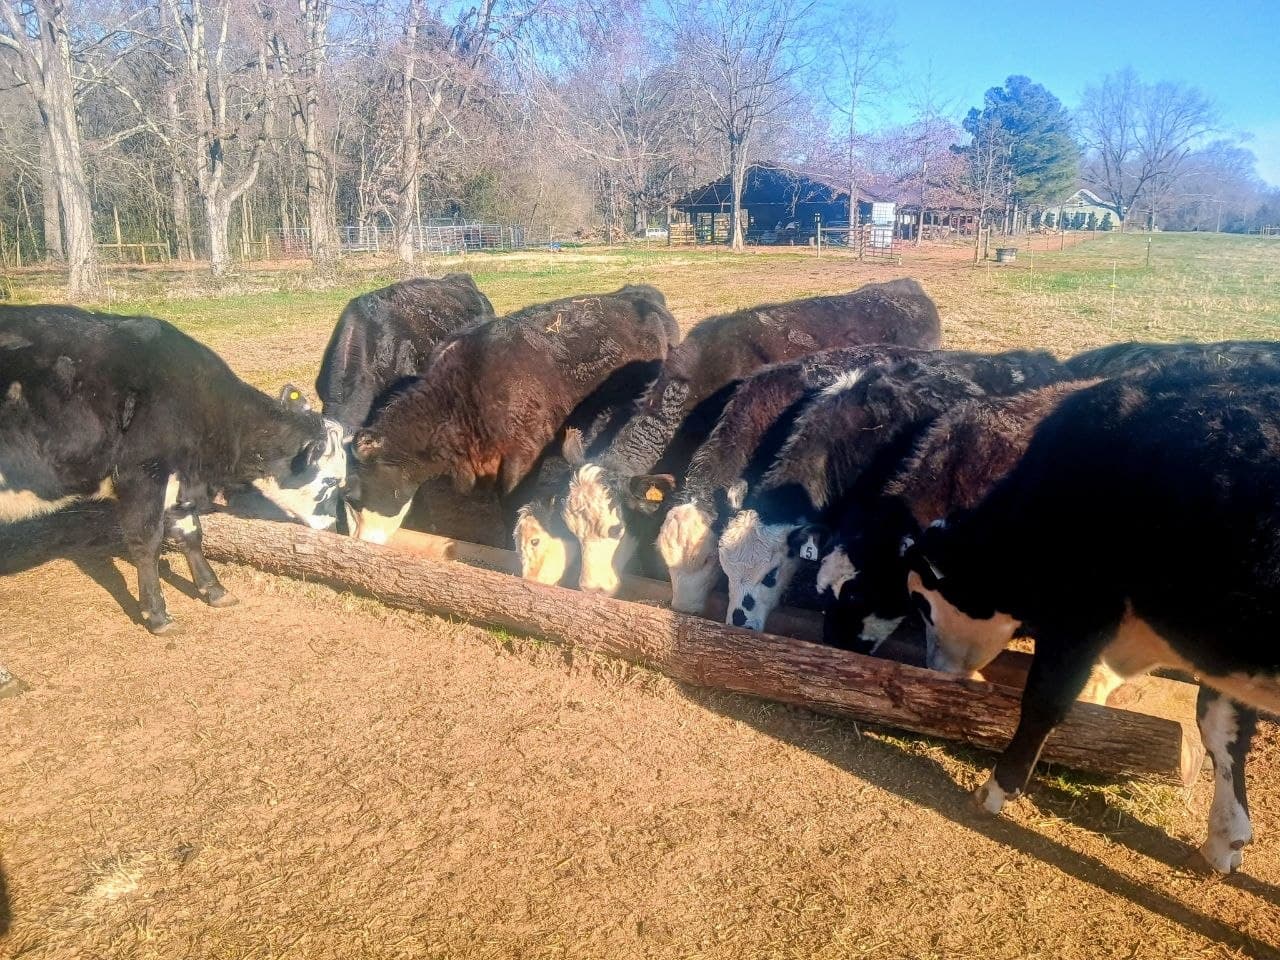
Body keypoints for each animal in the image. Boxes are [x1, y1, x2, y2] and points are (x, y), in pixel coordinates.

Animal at [0, 305, 346, 633]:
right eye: (331, 482)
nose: (334, 529)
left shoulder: (178, 478)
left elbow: (190, 532)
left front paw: (214, 589)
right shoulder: (142, 475)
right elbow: (146, 541)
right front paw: (157, 614)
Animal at [903, 366, 1280, 874]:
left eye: (924, 604)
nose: (933, 668)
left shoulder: (1079, 611)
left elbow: (1044, 700)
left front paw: (995, 790)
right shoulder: (1217, 645)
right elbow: (1221, 728)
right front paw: (1225, 838)